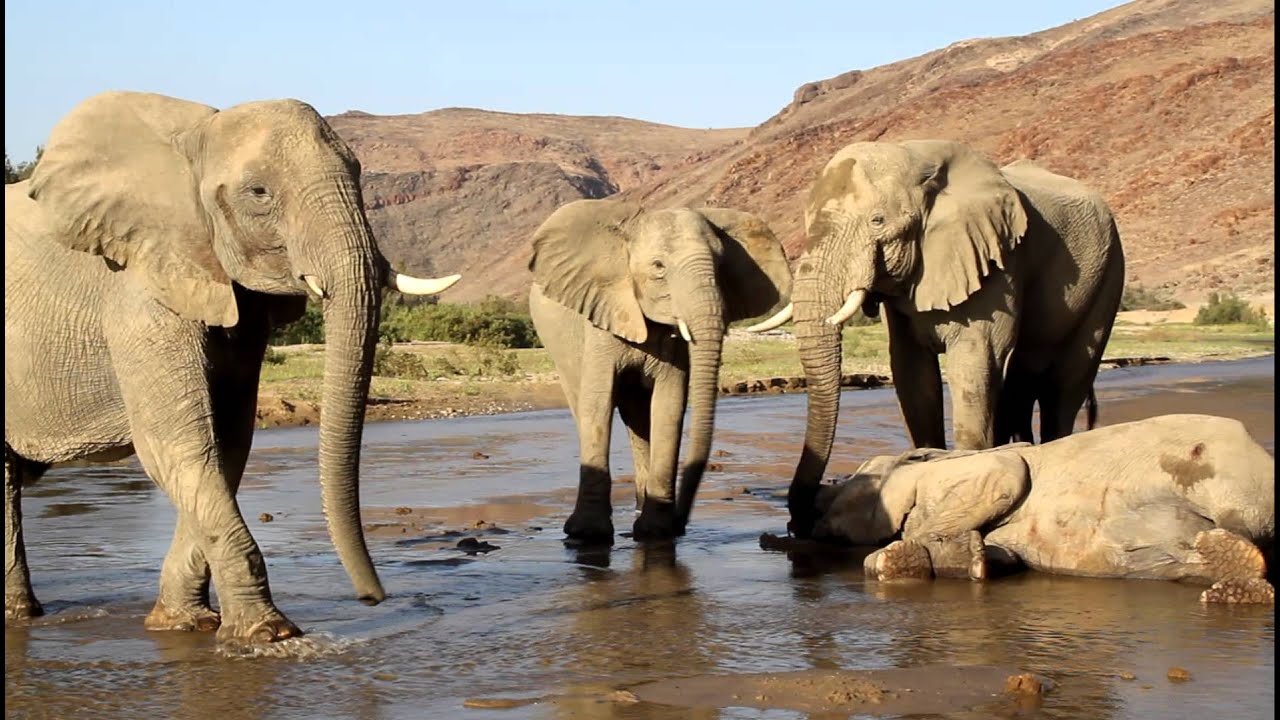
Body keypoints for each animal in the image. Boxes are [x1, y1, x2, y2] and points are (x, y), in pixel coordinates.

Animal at [4, 91, 461, 643]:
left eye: (357, 171)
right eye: (258, 192)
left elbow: (226, 442)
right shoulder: (137, 289)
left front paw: (183, 624)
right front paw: (270, 634)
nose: (373, 597)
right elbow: (176, 445)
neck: (193, 141)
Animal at [528, 199, 792, 541]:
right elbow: (598, 403)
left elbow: (669, 405)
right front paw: (586, 534)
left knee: (639, 418)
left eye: (721, 266)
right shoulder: (602, 316)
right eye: (658, 267)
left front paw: (656, 532)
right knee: (587, 407)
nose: (682, 521)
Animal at [749, 140, 1125, 537]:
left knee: (1066, 383)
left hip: (1109, 274)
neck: (919, 160)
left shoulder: (998, 259)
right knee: (1023, 381)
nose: (797, 523)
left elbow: (975, 359)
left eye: (877, 221)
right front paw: (928, 461)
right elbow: (912, 372)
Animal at [812, 414, 1275, 604]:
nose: (815, 511)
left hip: (1232, 468)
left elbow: (1007, 474)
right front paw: (971, 557)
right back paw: (1235, 574)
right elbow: (1001, 554)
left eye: (847, 481)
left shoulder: (970, 469)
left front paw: (901, 555)